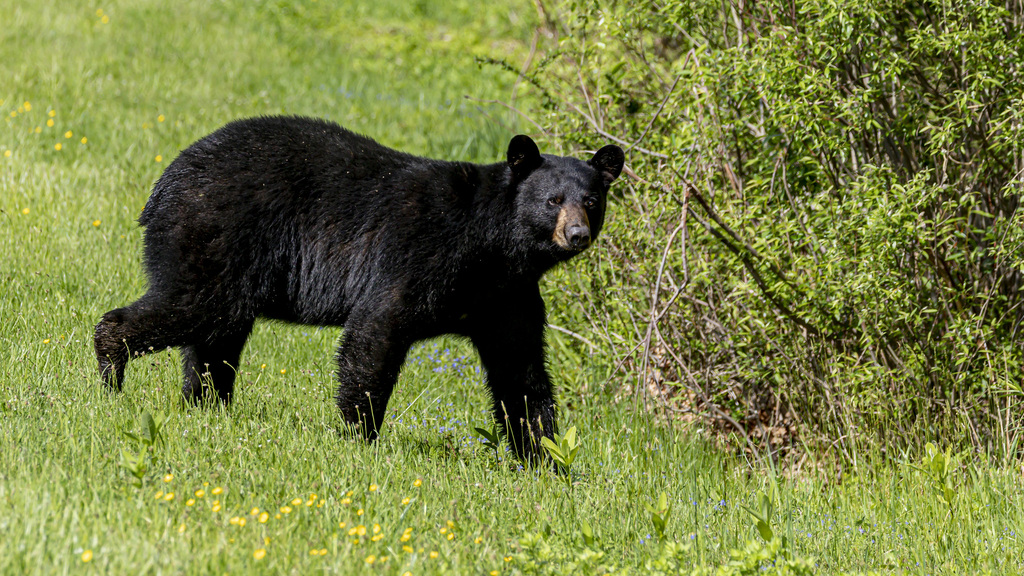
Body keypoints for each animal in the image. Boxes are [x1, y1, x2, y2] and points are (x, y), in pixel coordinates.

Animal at [96, 114, 622, 459]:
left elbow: (521, 372)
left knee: (215, 340)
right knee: (193, 308)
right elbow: (375, 332)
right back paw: (110, 376)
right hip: (216, 233)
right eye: (552, 200)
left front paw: (547, 458)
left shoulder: (506, 297)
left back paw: (206, 406)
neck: (493, 247)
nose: (577, 234)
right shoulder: (419, 255)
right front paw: (359, 434)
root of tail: (165, 181)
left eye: (592, 200)